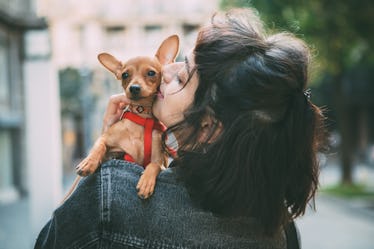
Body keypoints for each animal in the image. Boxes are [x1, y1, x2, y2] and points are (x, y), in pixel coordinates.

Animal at [73, 35, 180, 198]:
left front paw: (146, 182)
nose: (134, 88)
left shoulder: (161, 161)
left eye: (151, 73)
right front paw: (88, 162)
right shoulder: (107, 139)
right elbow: (98, 146)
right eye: (125, 75)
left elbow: (153, 165)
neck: (142, 118)